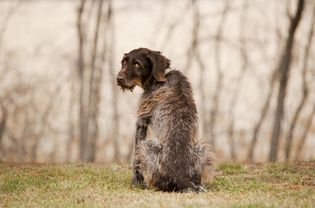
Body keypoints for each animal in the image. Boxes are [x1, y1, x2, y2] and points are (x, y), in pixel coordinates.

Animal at [117, 47, 216, 192]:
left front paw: (137, 182)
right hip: (202, 149)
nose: (118, 79)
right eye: (123, 62)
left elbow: (135, 160)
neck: (159, 79)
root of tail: (183, 179)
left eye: (137, 64)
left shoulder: (141, 122)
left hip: (147, 146)